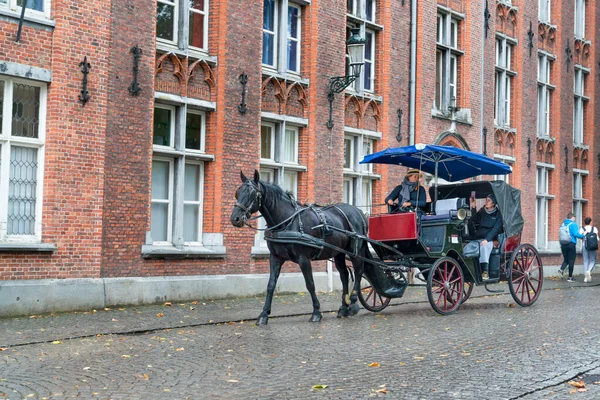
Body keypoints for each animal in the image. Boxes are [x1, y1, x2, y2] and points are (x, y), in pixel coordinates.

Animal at [231, 170, 368, 324]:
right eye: (237, 192)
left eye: (252, 194)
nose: (235, 218)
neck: (287, 222)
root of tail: (359, 212)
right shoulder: (275, 257)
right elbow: (271, 285)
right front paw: (264, 315)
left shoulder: (304, 259)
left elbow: (310, 284)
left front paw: (316, 312)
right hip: (338, 253)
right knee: (344, 275)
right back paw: (343, 308)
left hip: (355, 251)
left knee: (358, 271)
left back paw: (353, 302)